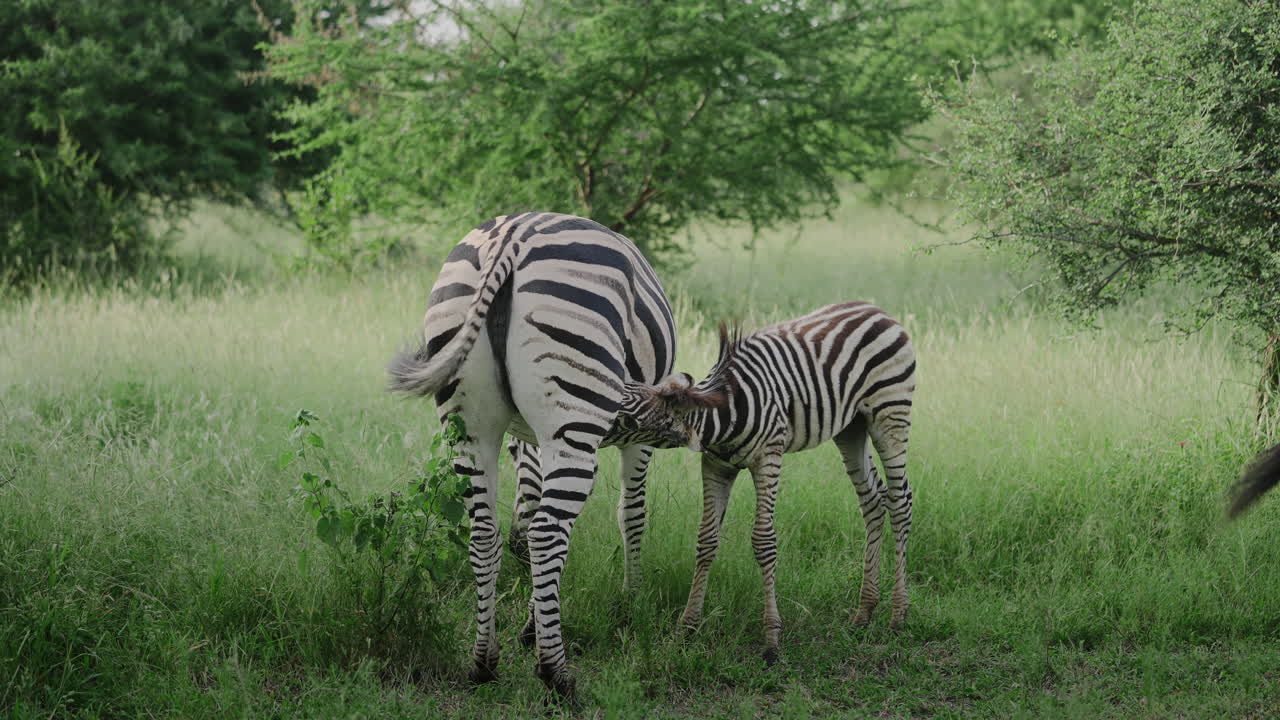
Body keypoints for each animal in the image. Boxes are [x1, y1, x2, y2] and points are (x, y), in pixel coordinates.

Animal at [387, 212, 684, 697]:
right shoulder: (631, 440)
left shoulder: (527, 438)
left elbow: (524, 520)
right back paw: (556, 673)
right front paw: (631, 599)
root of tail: (510, 237)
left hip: (469, 426)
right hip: (573, 404)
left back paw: (483, 662)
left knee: (485, 534)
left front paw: (532, 623)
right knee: (548, 533)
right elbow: (632, 513)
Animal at [615, 302, 917, 664]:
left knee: (900, 500)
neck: (725, 413)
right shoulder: (715, 467)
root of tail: (877, 309)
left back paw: (898, 614)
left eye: (624, 418)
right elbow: (706, 540)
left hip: (890, 414)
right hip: (851, 427)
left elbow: (763, 541)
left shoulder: (768, 459)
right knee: (872, 499)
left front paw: (772, 638)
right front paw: (687, 626)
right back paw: (865, 611)